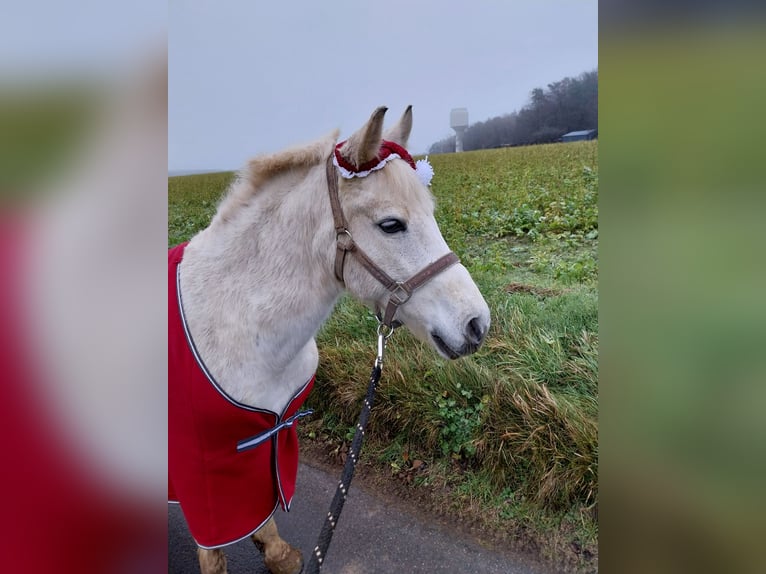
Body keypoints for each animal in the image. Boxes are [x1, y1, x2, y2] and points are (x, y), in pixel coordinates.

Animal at [169, 106, 491, 574]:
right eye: (391, 224)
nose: (476, 324)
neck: (236, 322)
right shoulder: (202, 468)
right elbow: (215, 543)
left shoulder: (264, 439)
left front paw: (277, 553)